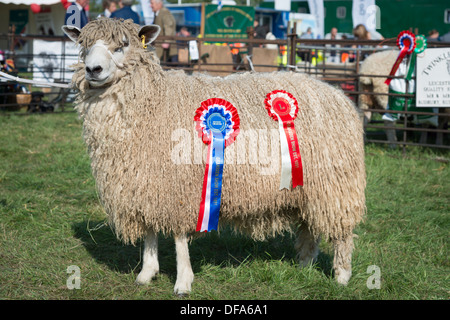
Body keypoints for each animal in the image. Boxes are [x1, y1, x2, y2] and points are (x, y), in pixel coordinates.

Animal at [62, 18, 366, 296]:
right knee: (310, 226)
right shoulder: (149, 183)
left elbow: (179, 237)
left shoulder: (182, 187)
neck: (154, 102)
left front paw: (183, 281)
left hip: (335, 184)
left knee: (341, 231)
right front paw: (147, 272)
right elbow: (150, 231)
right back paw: (304, 266)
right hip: (307, 187)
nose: (93, 70)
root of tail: (338, 94)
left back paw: (341, 276)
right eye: (84, 46)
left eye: (122, 45)